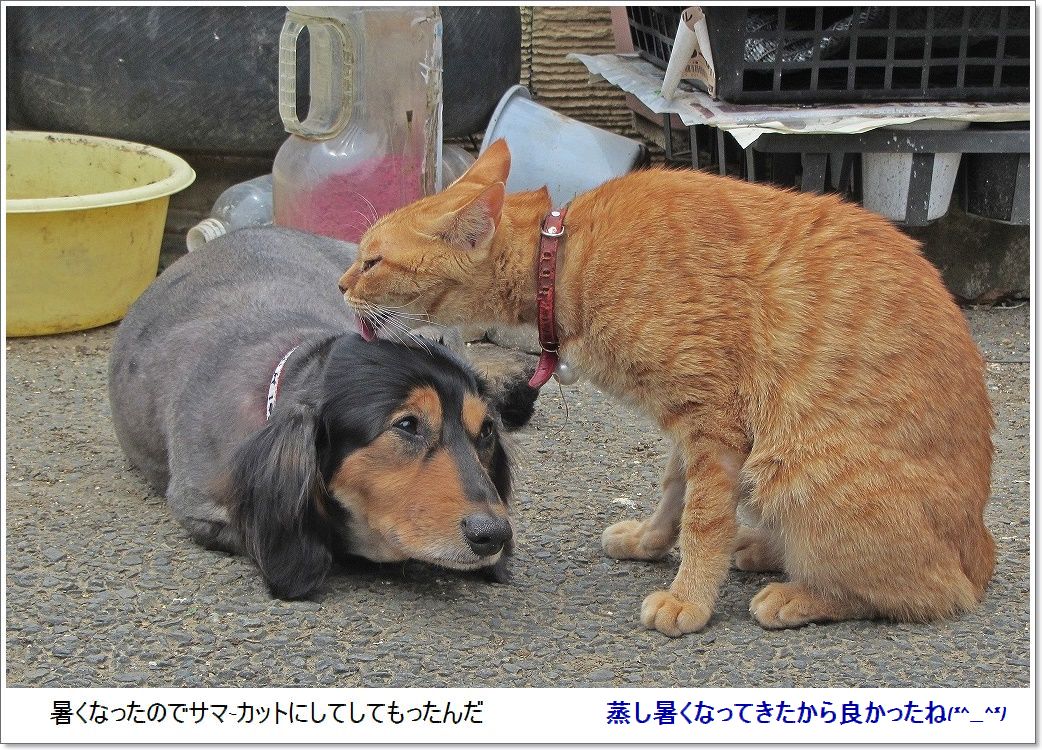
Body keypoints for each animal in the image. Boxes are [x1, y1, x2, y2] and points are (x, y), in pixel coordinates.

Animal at [339, 139, 991, 633]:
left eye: (372, 262)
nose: (342, 286)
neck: (567, 260)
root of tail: (979, 549)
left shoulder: (713, 423)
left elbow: (703, 519)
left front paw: (690, 598)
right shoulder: (689, 425)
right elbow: (675, 492)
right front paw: (652, 542)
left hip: (795, 467)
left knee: (929, 593)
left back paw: (800, 593)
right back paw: (763, 551)